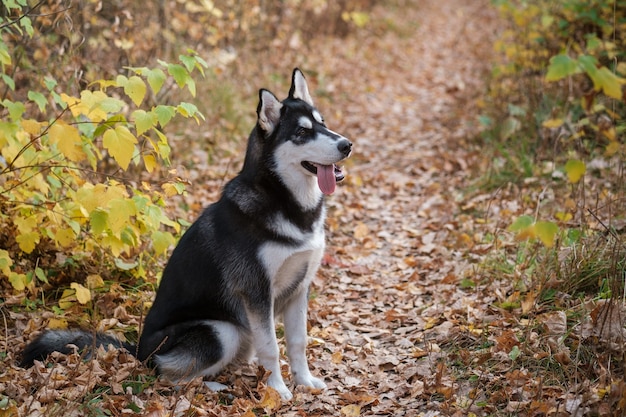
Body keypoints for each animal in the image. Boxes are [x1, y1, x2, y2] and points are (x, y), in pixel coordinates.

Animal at [19, 69, 352, 400]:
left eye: (323, 123)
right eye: (301, 133)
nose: (347, 145)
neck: (286, 202)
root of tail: (138, 351)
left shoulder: (300, 287)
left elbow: (298, 342)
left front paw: (304, 382)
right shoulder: (256, 293)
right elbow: (271, 347)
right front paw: (278, 391)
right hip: (222, 330)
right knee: (169, 376)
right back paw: (214, 388)